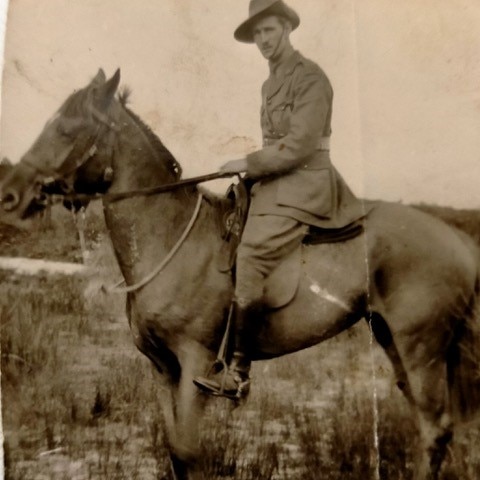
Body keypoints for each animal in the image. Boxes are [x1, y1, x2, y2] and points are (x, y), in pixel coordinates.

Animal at [0, 68, 480, 480]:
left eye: (67, 129)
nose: (11, 196)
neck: (172, 239)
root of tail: (458, 240)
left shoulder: (195, 363)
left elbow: (189, 452)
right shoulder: (161, 368)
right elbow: (174, 451)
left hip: (422, 348)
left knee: (435, 429)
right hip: (395, 341)